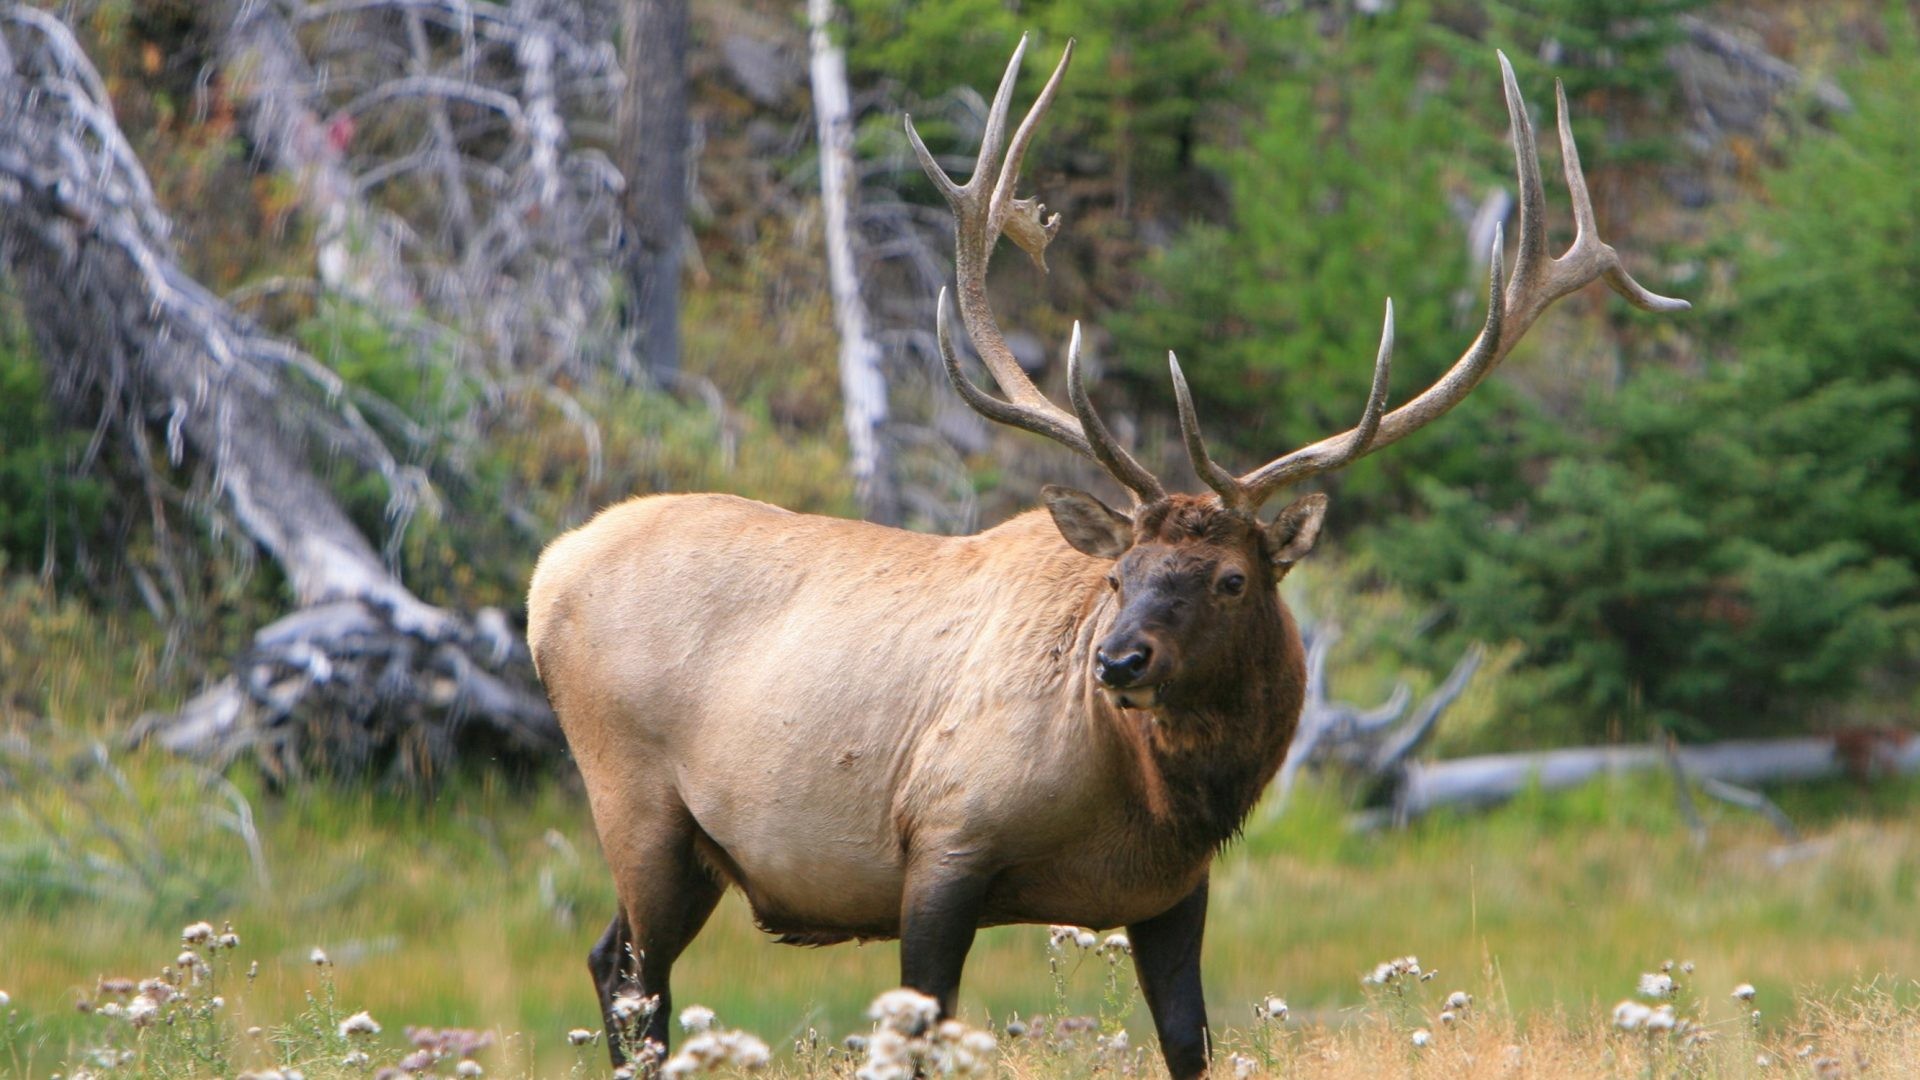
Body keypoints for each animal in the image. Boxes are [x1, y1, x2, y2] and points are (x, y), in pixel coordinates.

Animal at [525, 36, 1686, 1079]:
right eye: (1119, 577)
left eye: (1230, 579)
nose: (1116, 662)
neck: (1147, 799)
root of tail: (544, 577)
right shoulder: (942, 841)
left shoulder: (1172, 894)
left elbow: (1188, 1044)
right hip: (637, 800)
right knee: (631, 977)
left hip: (690, 849)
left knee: (611, 964)